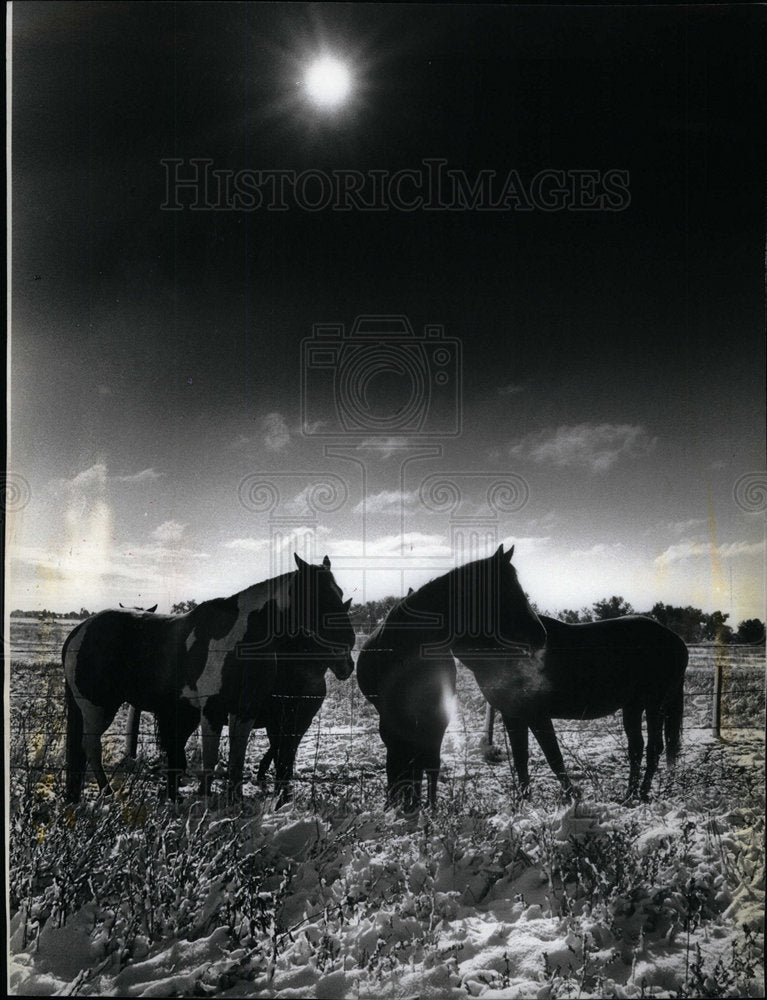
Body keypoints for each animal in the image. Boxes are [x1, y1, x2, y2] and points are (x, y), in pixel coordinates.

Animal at [64, 552, 356, 800]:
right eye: (316, 595)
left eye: (339, 593)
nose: (348, 643)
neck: (240, 639)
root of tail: (79, 631)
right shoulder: (212, 711)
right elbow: (210, 761)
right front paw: (204, 800)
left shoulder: (245, 711)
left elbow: (237, 761)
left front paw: (235, 802)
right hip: (97, 706)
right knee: (91, 747)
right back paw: (108, 792)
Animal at [356, 544, 548, 808]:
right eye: (507, 590)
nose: (541, 634)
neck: (411, 643)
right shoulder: (392, 718)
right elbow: (399, 759)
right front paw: (399, 803)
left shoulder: (436, 713)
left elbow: (429, 762)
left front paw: (429, 807)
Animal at [474, 612, 688, 800]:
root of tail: (677, 640)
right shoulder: (513, 715)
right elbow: (521, 757)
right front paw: (524, 800)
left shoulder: (535, 714)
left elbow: (552, 756)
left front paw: (569, 797)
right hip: (633, 706)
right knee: (636, 747)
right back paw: (629, 795)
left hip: (654, 705)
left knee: (654, 748)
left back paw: (642, 793)